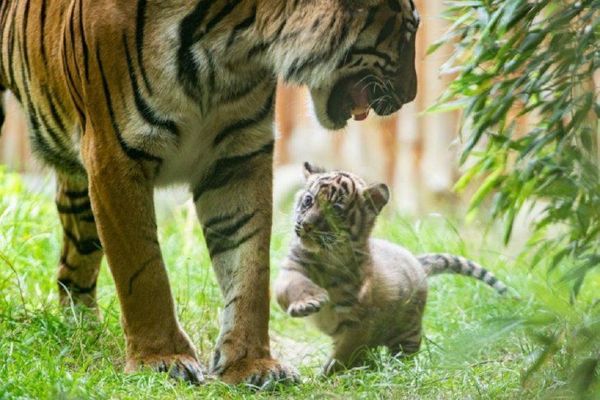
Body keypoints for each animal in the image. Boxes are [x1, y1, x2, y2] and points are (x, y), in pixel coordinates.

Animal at [0, 0, 420, 388]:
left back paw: (82, 331)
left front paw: (252, 364)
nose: (410, 96)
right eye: (410, 30)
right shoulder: (115, 156)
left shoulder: (238, 157)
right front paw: (161, 359)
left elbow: (250, 268)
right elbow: (143, 271)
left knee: (74, 264)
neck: (231, 42)